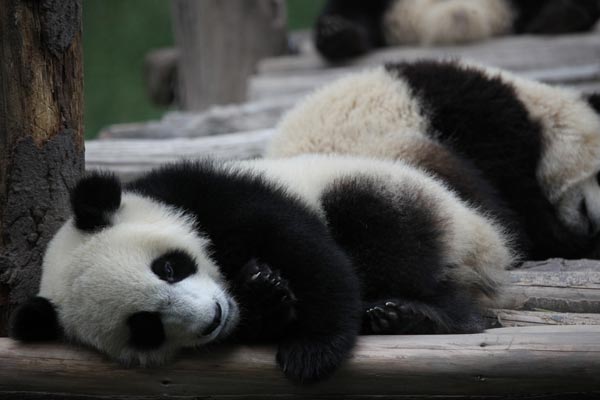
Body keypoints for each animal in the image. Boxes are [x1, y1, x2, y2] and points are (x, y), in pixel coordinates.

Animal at [10, 153, 516, 382]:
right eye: (145, 327)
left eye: (168, 268)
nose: (214, 317)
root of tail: (484, 235)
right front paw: (265, 296)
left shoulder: (203, 192)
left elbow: (305, 249)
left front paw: (311, 350)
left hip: (388, 193)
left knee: (384, 241)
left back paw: (419, 314)